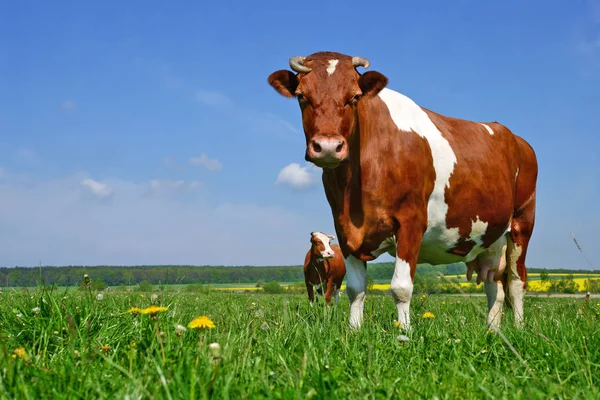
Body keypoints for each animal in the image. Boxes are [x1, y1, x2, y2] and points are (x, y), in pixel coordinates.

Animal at [268, 51, 540, 330]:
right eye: (302, 96)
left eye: (354, 96)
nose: (328, 147)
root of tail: (514, 137)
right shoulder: (343, 230)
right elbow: (355, 288)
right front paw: (353, 330)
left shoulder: (411, 222)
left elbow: (401, 287)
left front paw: (405, 332)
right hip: (490, 237)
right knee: (494, 284)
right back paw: (493, 330)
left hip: (522, 223)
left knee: (516, 281)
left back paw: (518, 328)